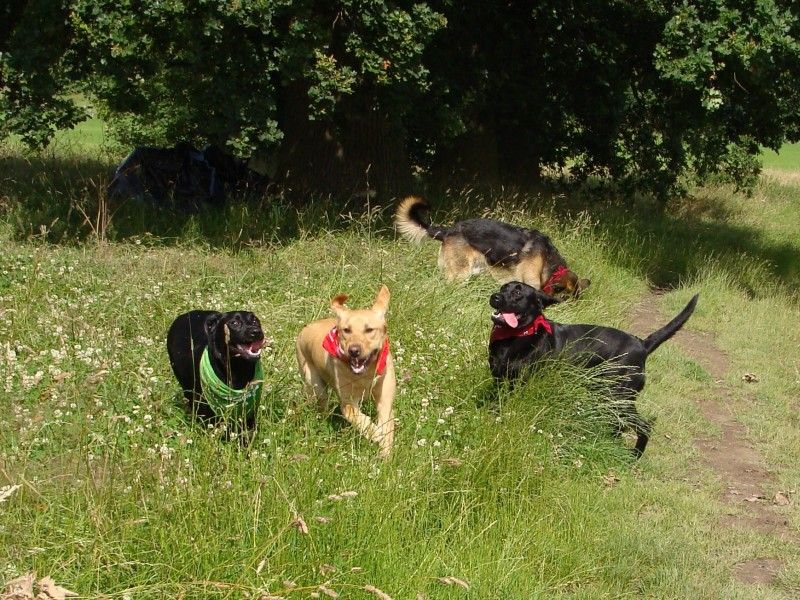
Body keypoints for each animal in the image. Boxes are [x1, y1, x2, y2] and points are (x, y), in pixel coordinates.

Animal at [296, 284, 396, 458]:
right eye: (346, 330)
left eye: (369, 329)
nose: (353, 351)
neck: (366, 373)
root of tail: (306, 327)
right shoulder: (348, 402)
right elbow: (361, 420)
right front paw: (376, 434)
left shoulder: (385, 398)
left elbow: (386, 425)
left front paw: (385, 453)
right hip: (315, 383)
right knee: (322, 404)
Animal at [484, 284, 696, 458]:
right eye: (503, 287)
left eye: (518, 292)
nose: (495, 297)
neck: (518, 335)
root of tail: (643, 345)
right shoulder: (499, 378)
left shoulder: (522, 383)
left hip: (618, 395)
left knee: (643, 426)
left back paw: (634, 456)